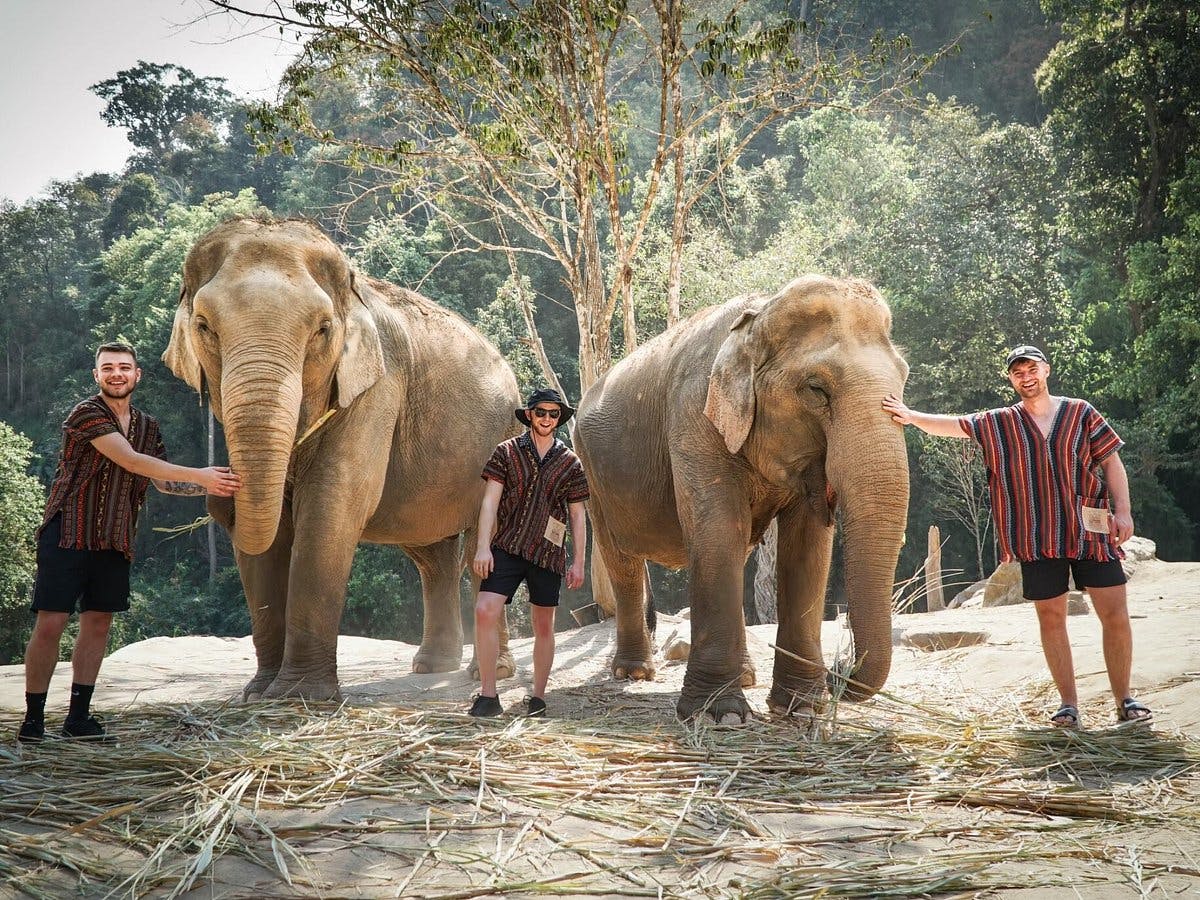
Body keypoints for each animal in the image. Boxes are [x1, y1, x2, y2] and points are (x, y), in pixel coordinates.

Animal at [164, 217, 521, 700]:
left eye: (322, 329)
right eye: (204, 326)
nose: (218, 498)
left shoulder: (378, 388)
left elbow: (330, 507)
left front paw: (300, 696)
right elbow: (272, 533)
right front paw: (258, 694)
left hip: (505, 437)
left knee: (480, 547)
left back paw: (489, 673)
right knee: (433, 556)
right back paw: (431, 667)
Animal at [574, 275, 909, 723]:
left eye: (903, 379)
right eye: (816, 389)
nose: (839, 669)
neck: (759, 315)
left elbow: (806, 548)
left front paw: (803, 708)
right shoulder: (693, 417)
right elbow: (719, 532)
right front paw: (718, 715)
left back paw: (747, 677)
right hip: (593, 475)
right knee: (621, 561)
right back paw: (634, 673)